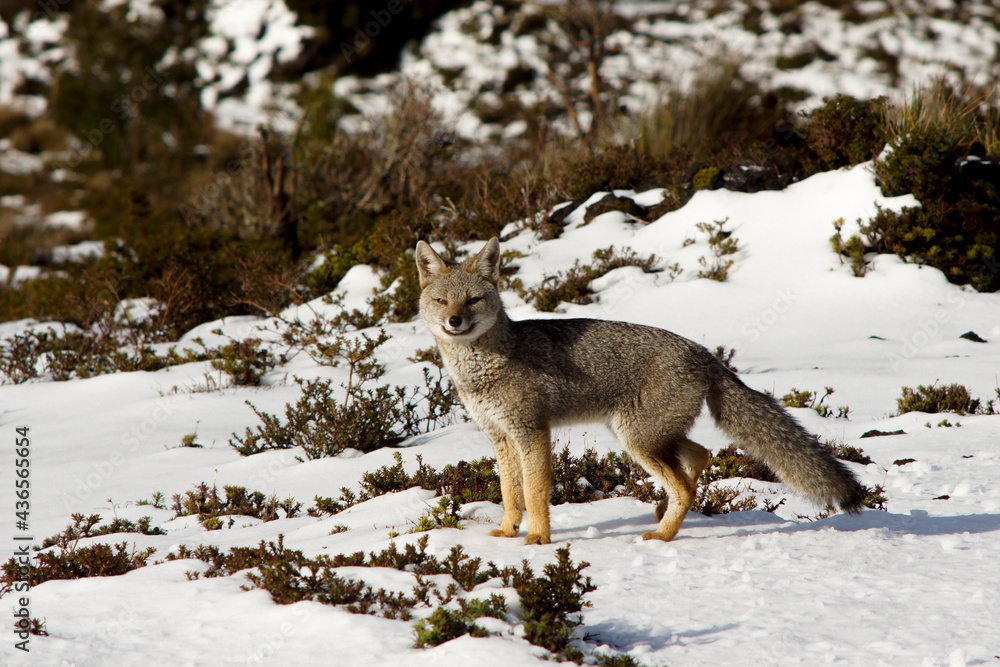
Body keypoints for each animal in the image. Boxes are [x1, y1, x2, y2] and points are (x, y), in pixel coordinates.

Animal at [415, 237, 865, 545]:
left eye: (473, 300)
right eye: (441, 300)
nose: (455, 322)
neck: (485, 366)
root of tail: (704, 353)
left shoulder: (531, 432)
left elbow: (536, 493)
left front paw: (538, 539)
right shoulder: (500, 437)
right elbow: (511, 494)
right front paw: (508, 532)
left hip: (637, 440)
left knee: (685, 483)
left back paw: (663, 535)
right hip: (645, 436)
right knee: (699, 455)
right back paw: (663, 513)